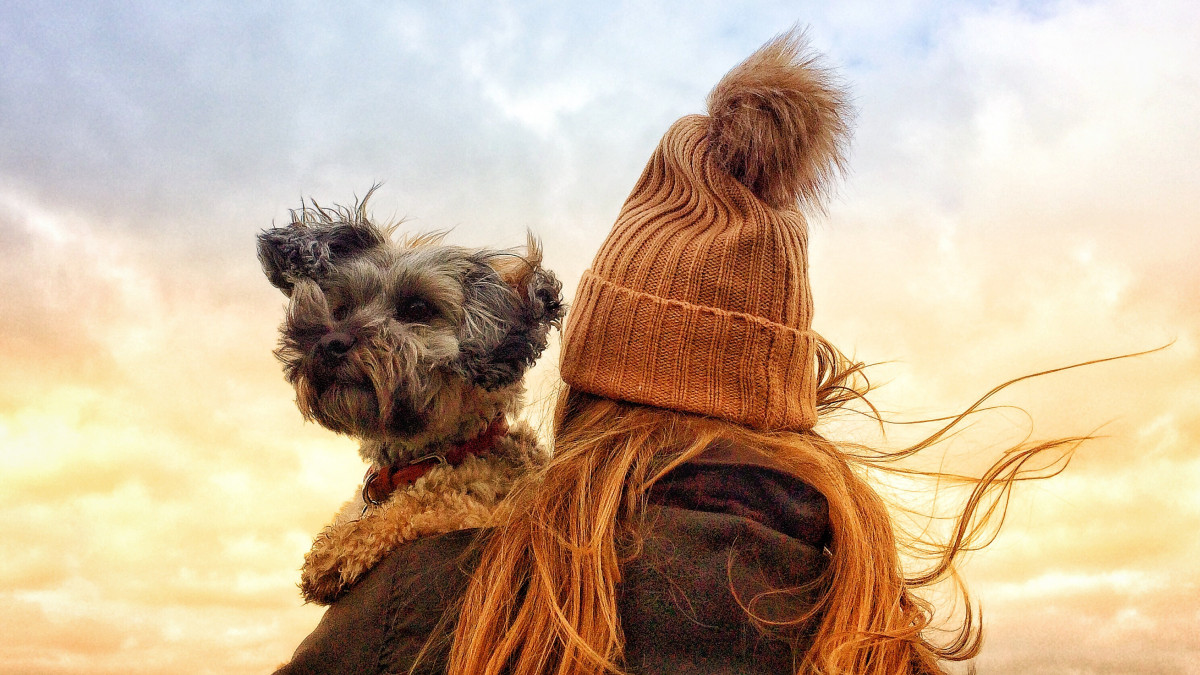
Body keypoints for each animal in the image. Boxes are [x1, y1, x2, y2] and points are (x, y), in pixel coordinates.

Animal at [256, 190, 561, 605]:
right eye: (340, 308)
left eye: (417, 308)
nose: (331, 343)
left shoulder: (479, 509)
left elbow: (426, 507)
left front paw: (338, 549)